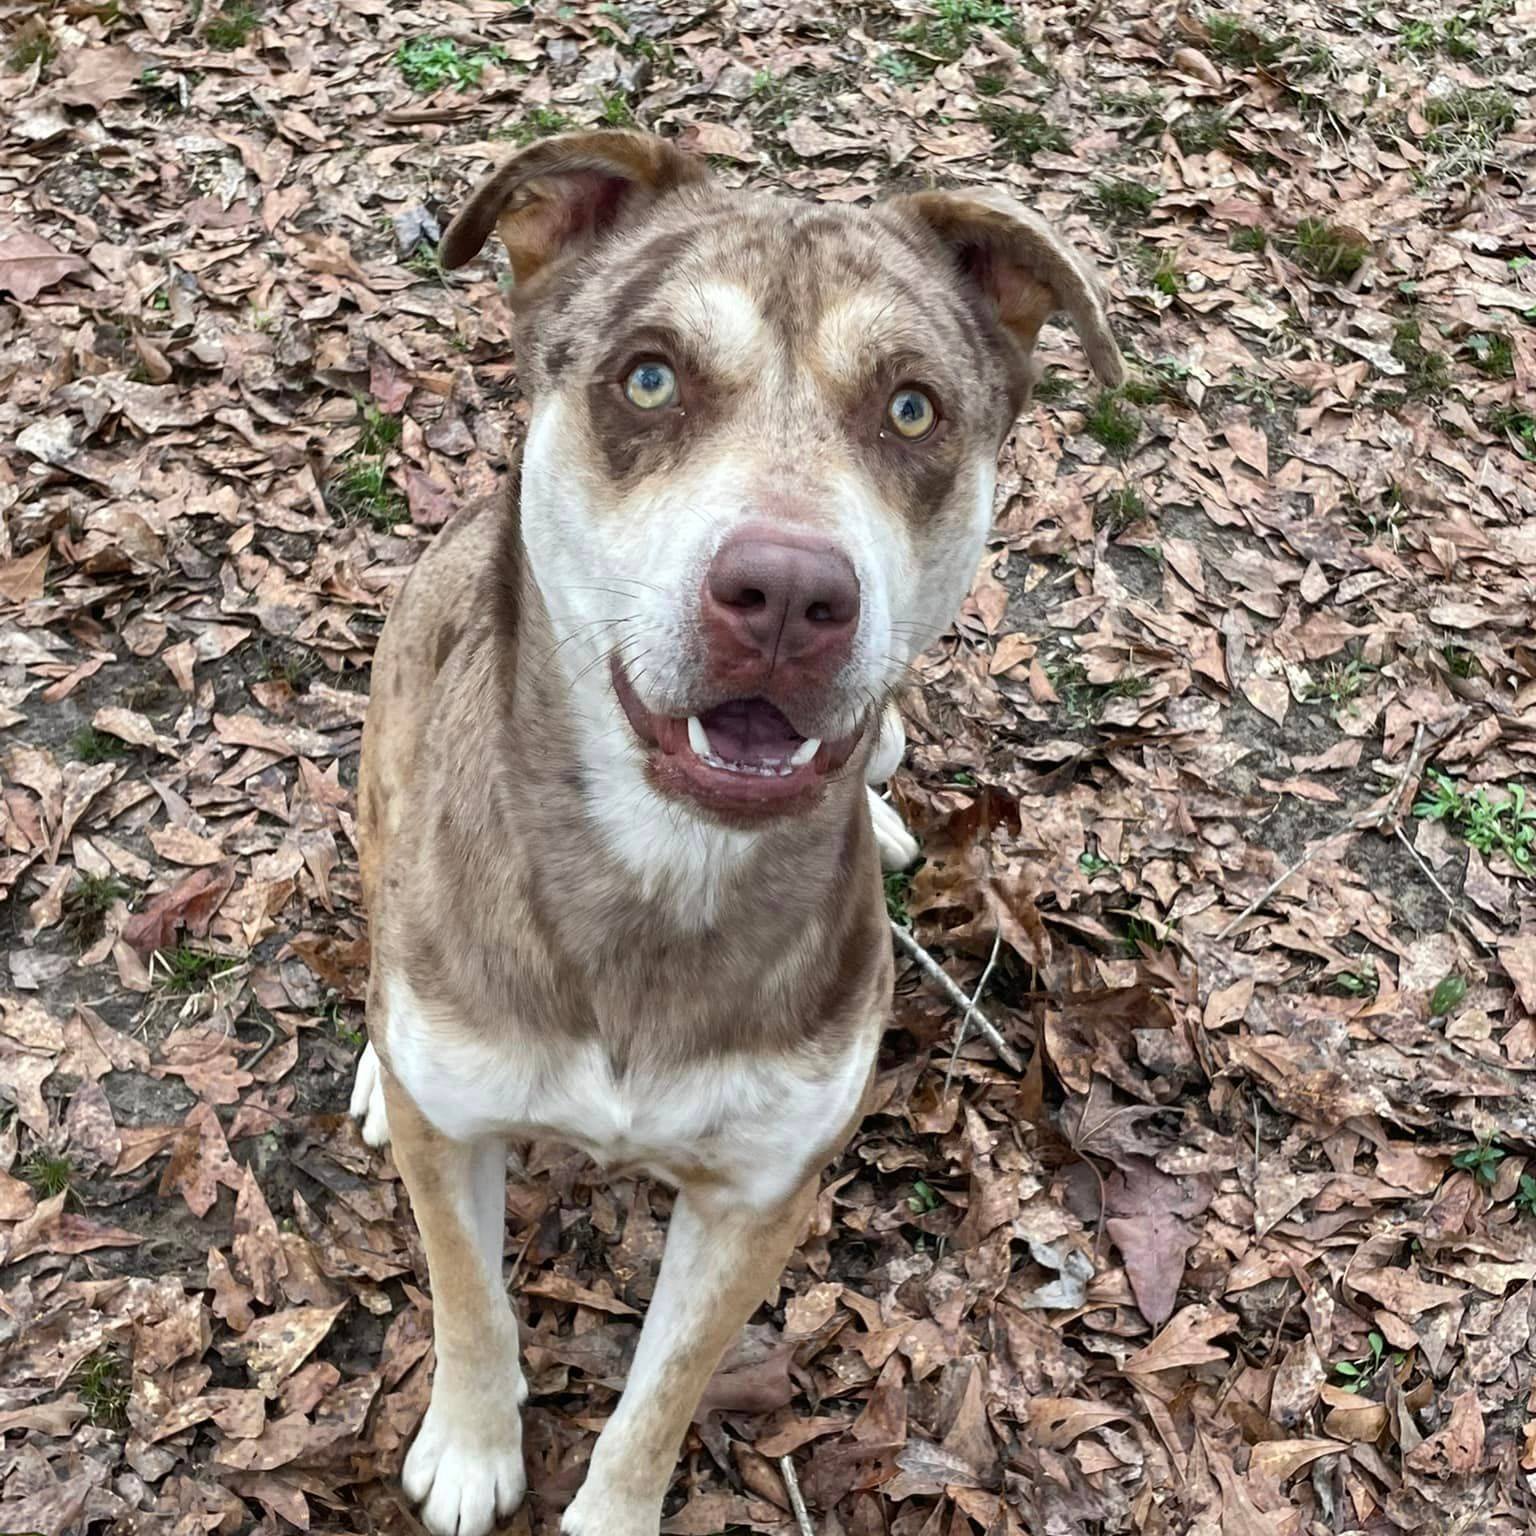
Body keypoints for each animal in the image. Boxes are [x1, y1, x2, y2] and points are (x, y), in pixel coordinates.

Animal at [345, 135, 1118, 1536]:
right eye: (649, 377)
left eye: (913, 409)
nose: (789, 597)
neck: (663, 863)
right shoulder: (462, 1133)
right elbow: (470, 1295)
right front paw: (474, 1449)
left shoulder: (759, 1196)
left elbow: (662, 1393)